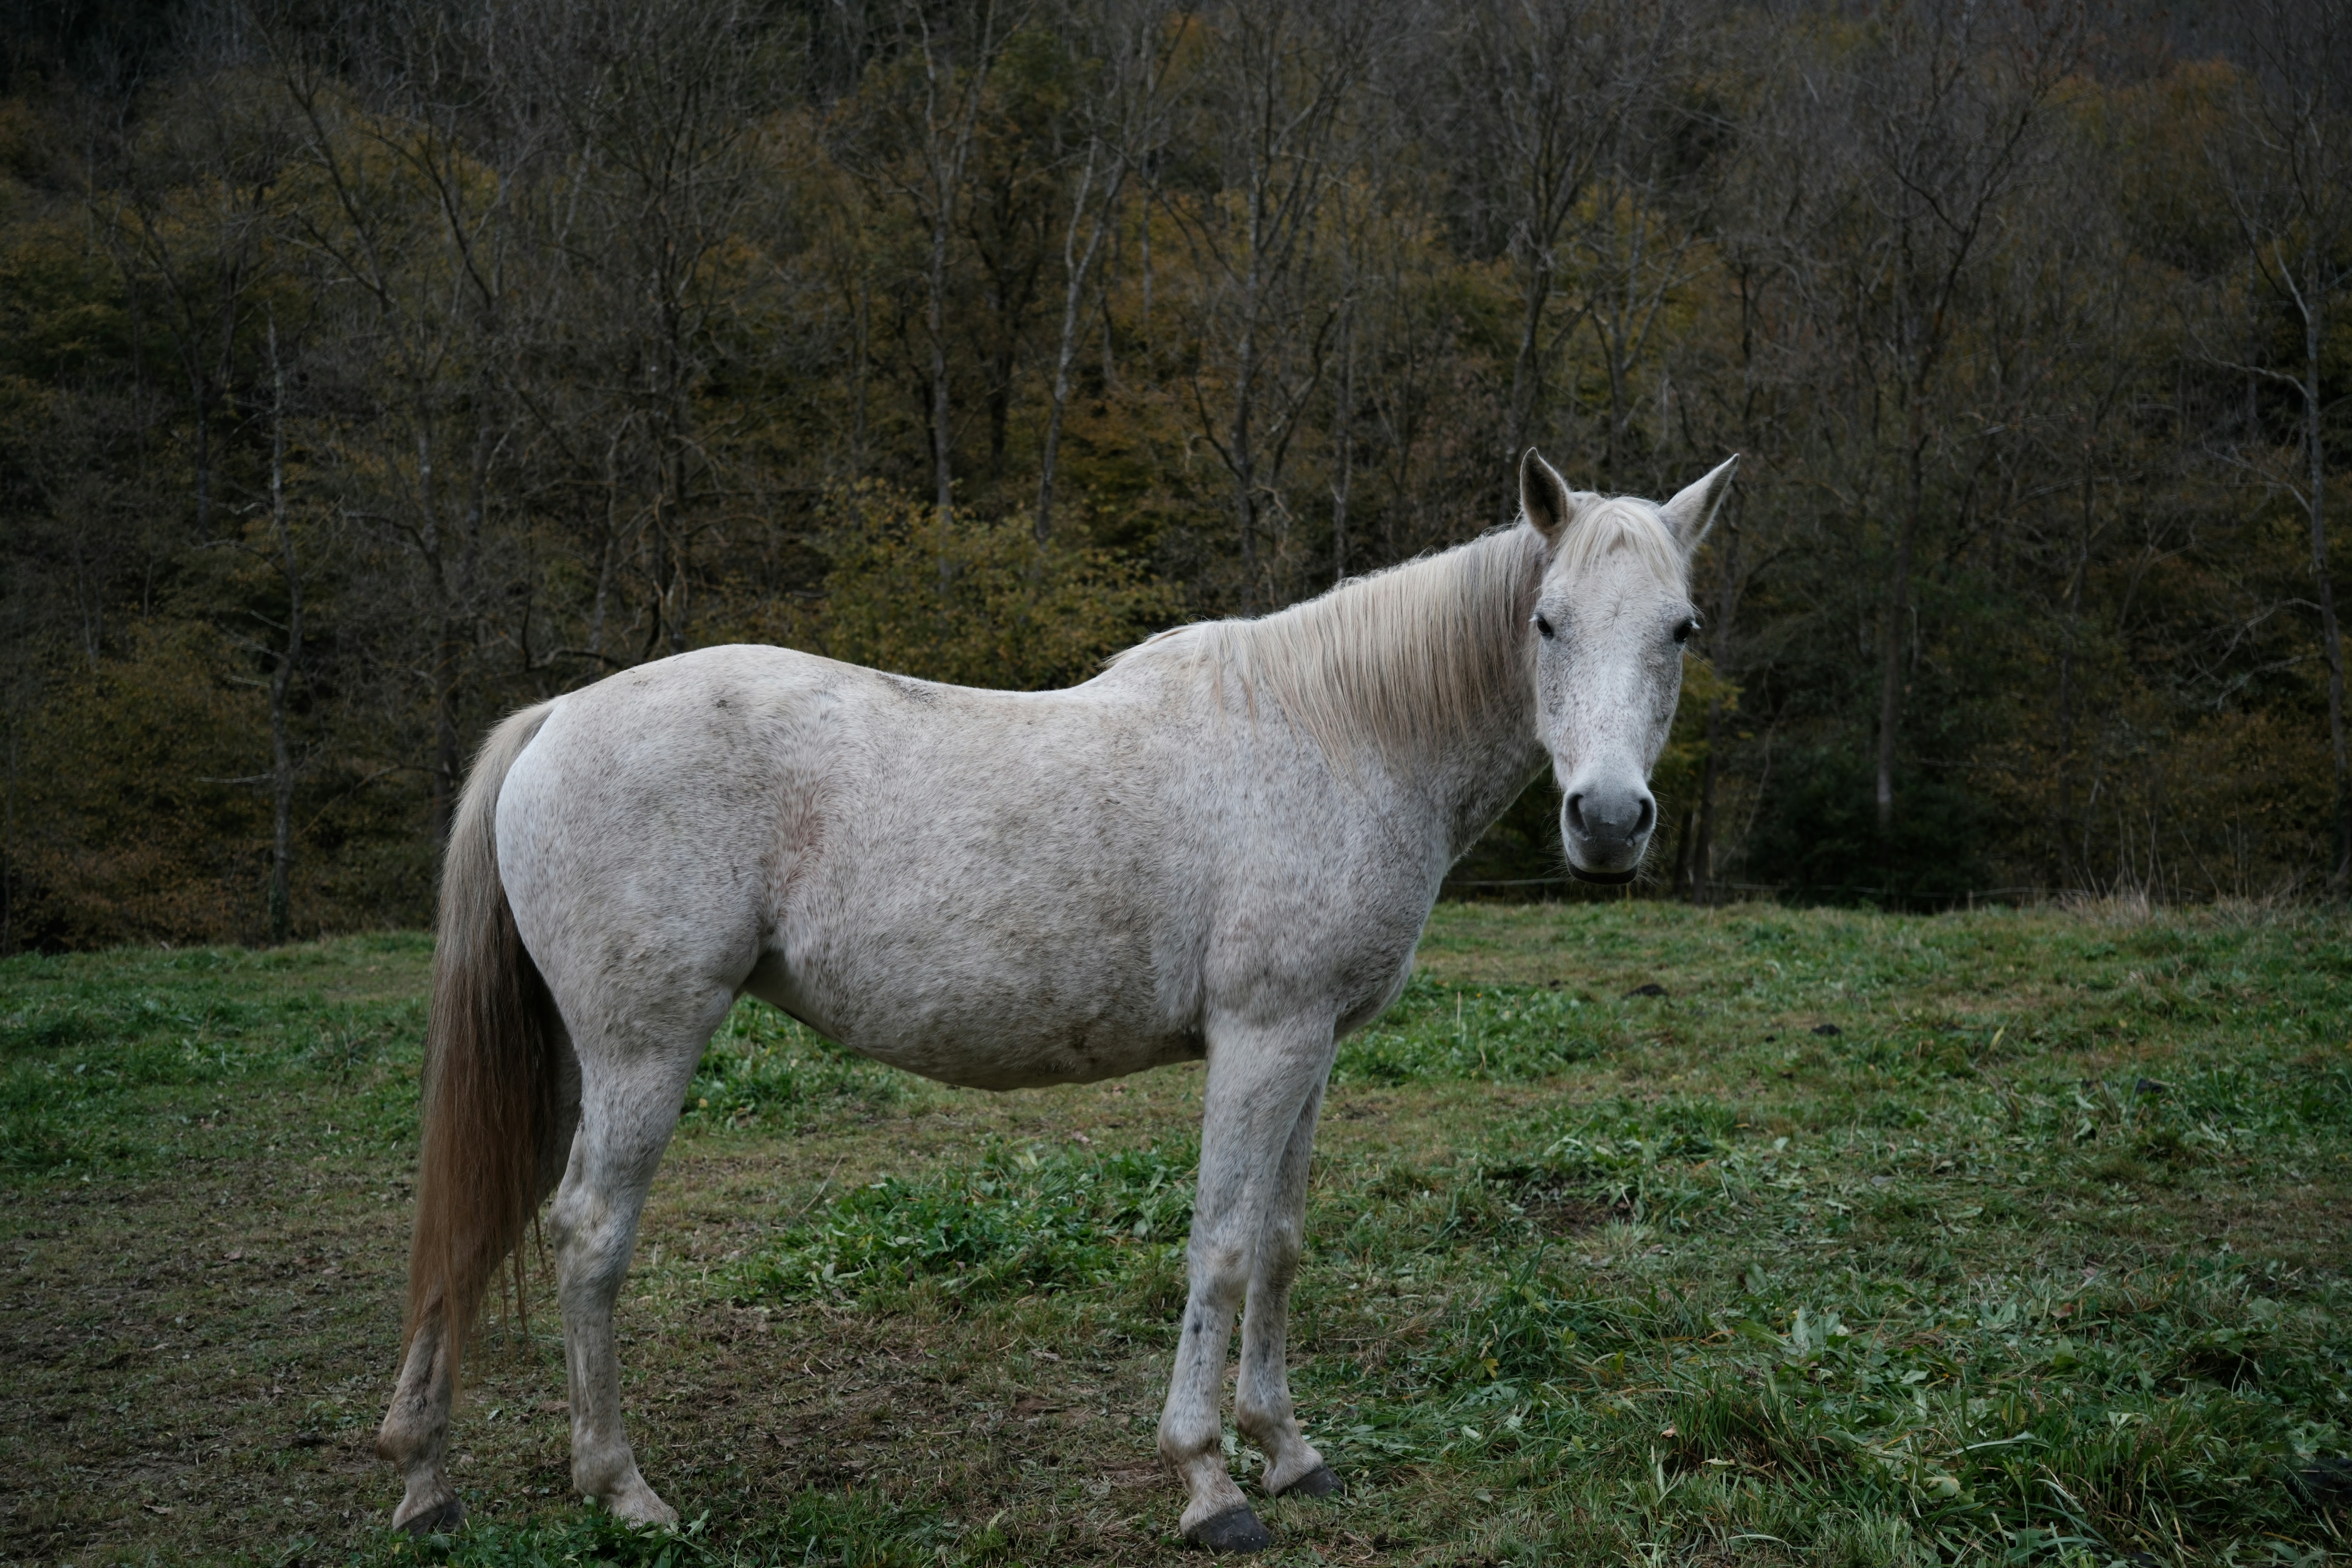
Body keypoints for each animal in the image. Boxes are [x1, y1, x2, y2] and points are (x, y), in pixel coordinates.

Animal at [376, 448, 1737, 1553]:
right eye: (1547, 621)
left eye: (1680, 627)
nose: (1607, 821)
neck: (1343, 736)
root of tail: (558, 715)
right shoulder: (1261, 1039)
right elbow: (1222, 1248)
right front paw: (1209, 1484)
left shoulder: (1314, 1048)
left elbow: (1281, 1243)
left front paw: (1289, 1452)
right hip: (642, 1048)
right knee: (588, 1234)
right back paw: (622, 1489)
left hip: (569, 1056)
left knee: (486, 1219)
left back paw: (427, 1481)